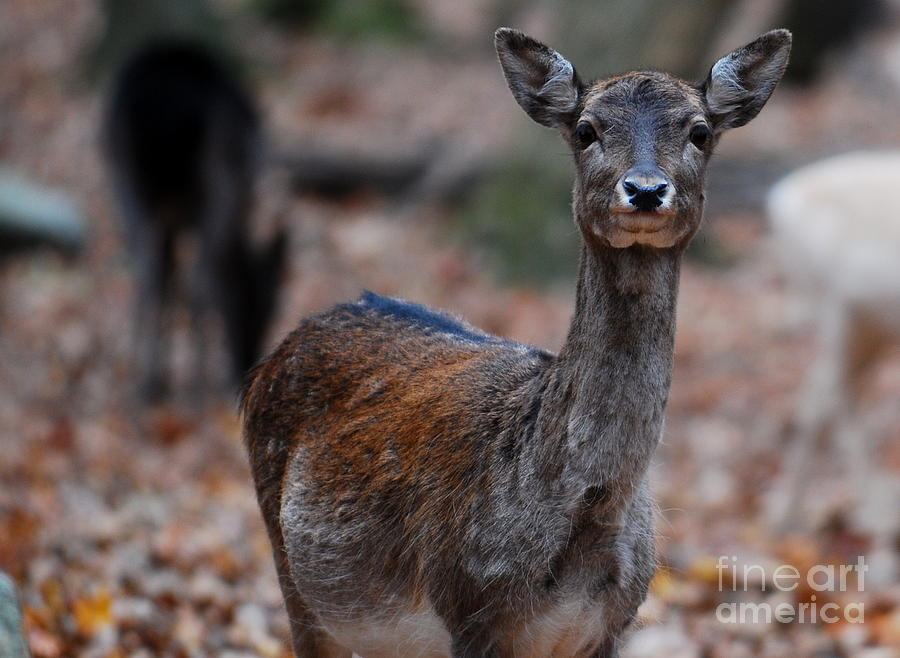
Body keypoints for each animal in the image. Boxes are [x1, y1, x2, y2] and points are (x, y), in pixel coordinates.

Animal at [104, 39, 284, 400]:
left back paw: (143, 387)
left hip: (125, 177)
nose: (247, 360)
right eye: (267, 304)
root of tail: (167, 111)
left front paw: (161, 377)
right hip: (219, 177)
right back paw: (196, 388)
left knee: (148, 274)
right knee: (199, 281)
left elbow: (170, 280)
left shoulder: (172, 218)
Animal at [243, 26, 792, 656]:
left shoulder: (615, 621)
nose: (646, 190)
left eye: (700, 131)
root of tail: (273, 357)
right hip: (291, 572)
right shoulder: (468, 605)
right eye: (586, 129)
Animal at [768, 151, 900, 544]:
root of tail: (779, 201)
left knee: (817, 399)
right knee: (838, 401)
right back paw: (878, 518)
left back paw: (786, 519)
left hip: (871, 333)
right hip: (841, 318)